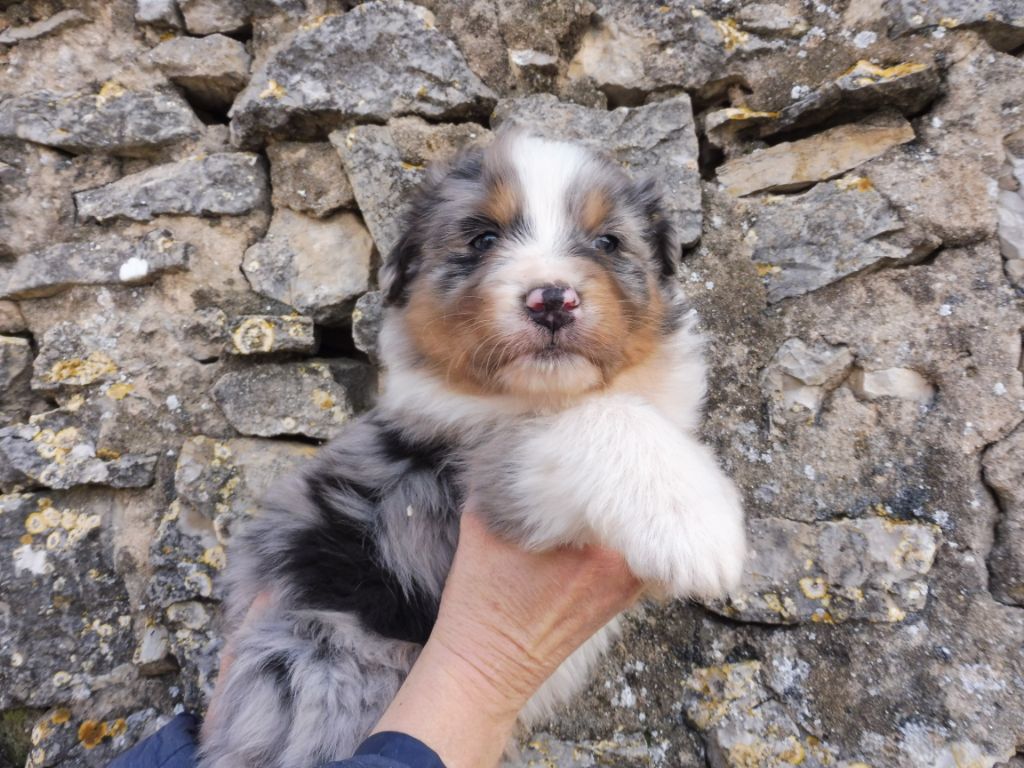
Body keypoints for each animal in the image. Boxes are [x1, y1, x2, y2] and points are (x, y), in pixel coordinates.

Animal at [197, 132, 745, 768]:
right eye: (483, 238)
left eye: (608, 242)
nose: (552, 299)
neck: (541, 394)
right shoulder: (476, 473)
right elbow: (595, 423)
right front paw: (694, 526)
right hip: (322, 660)